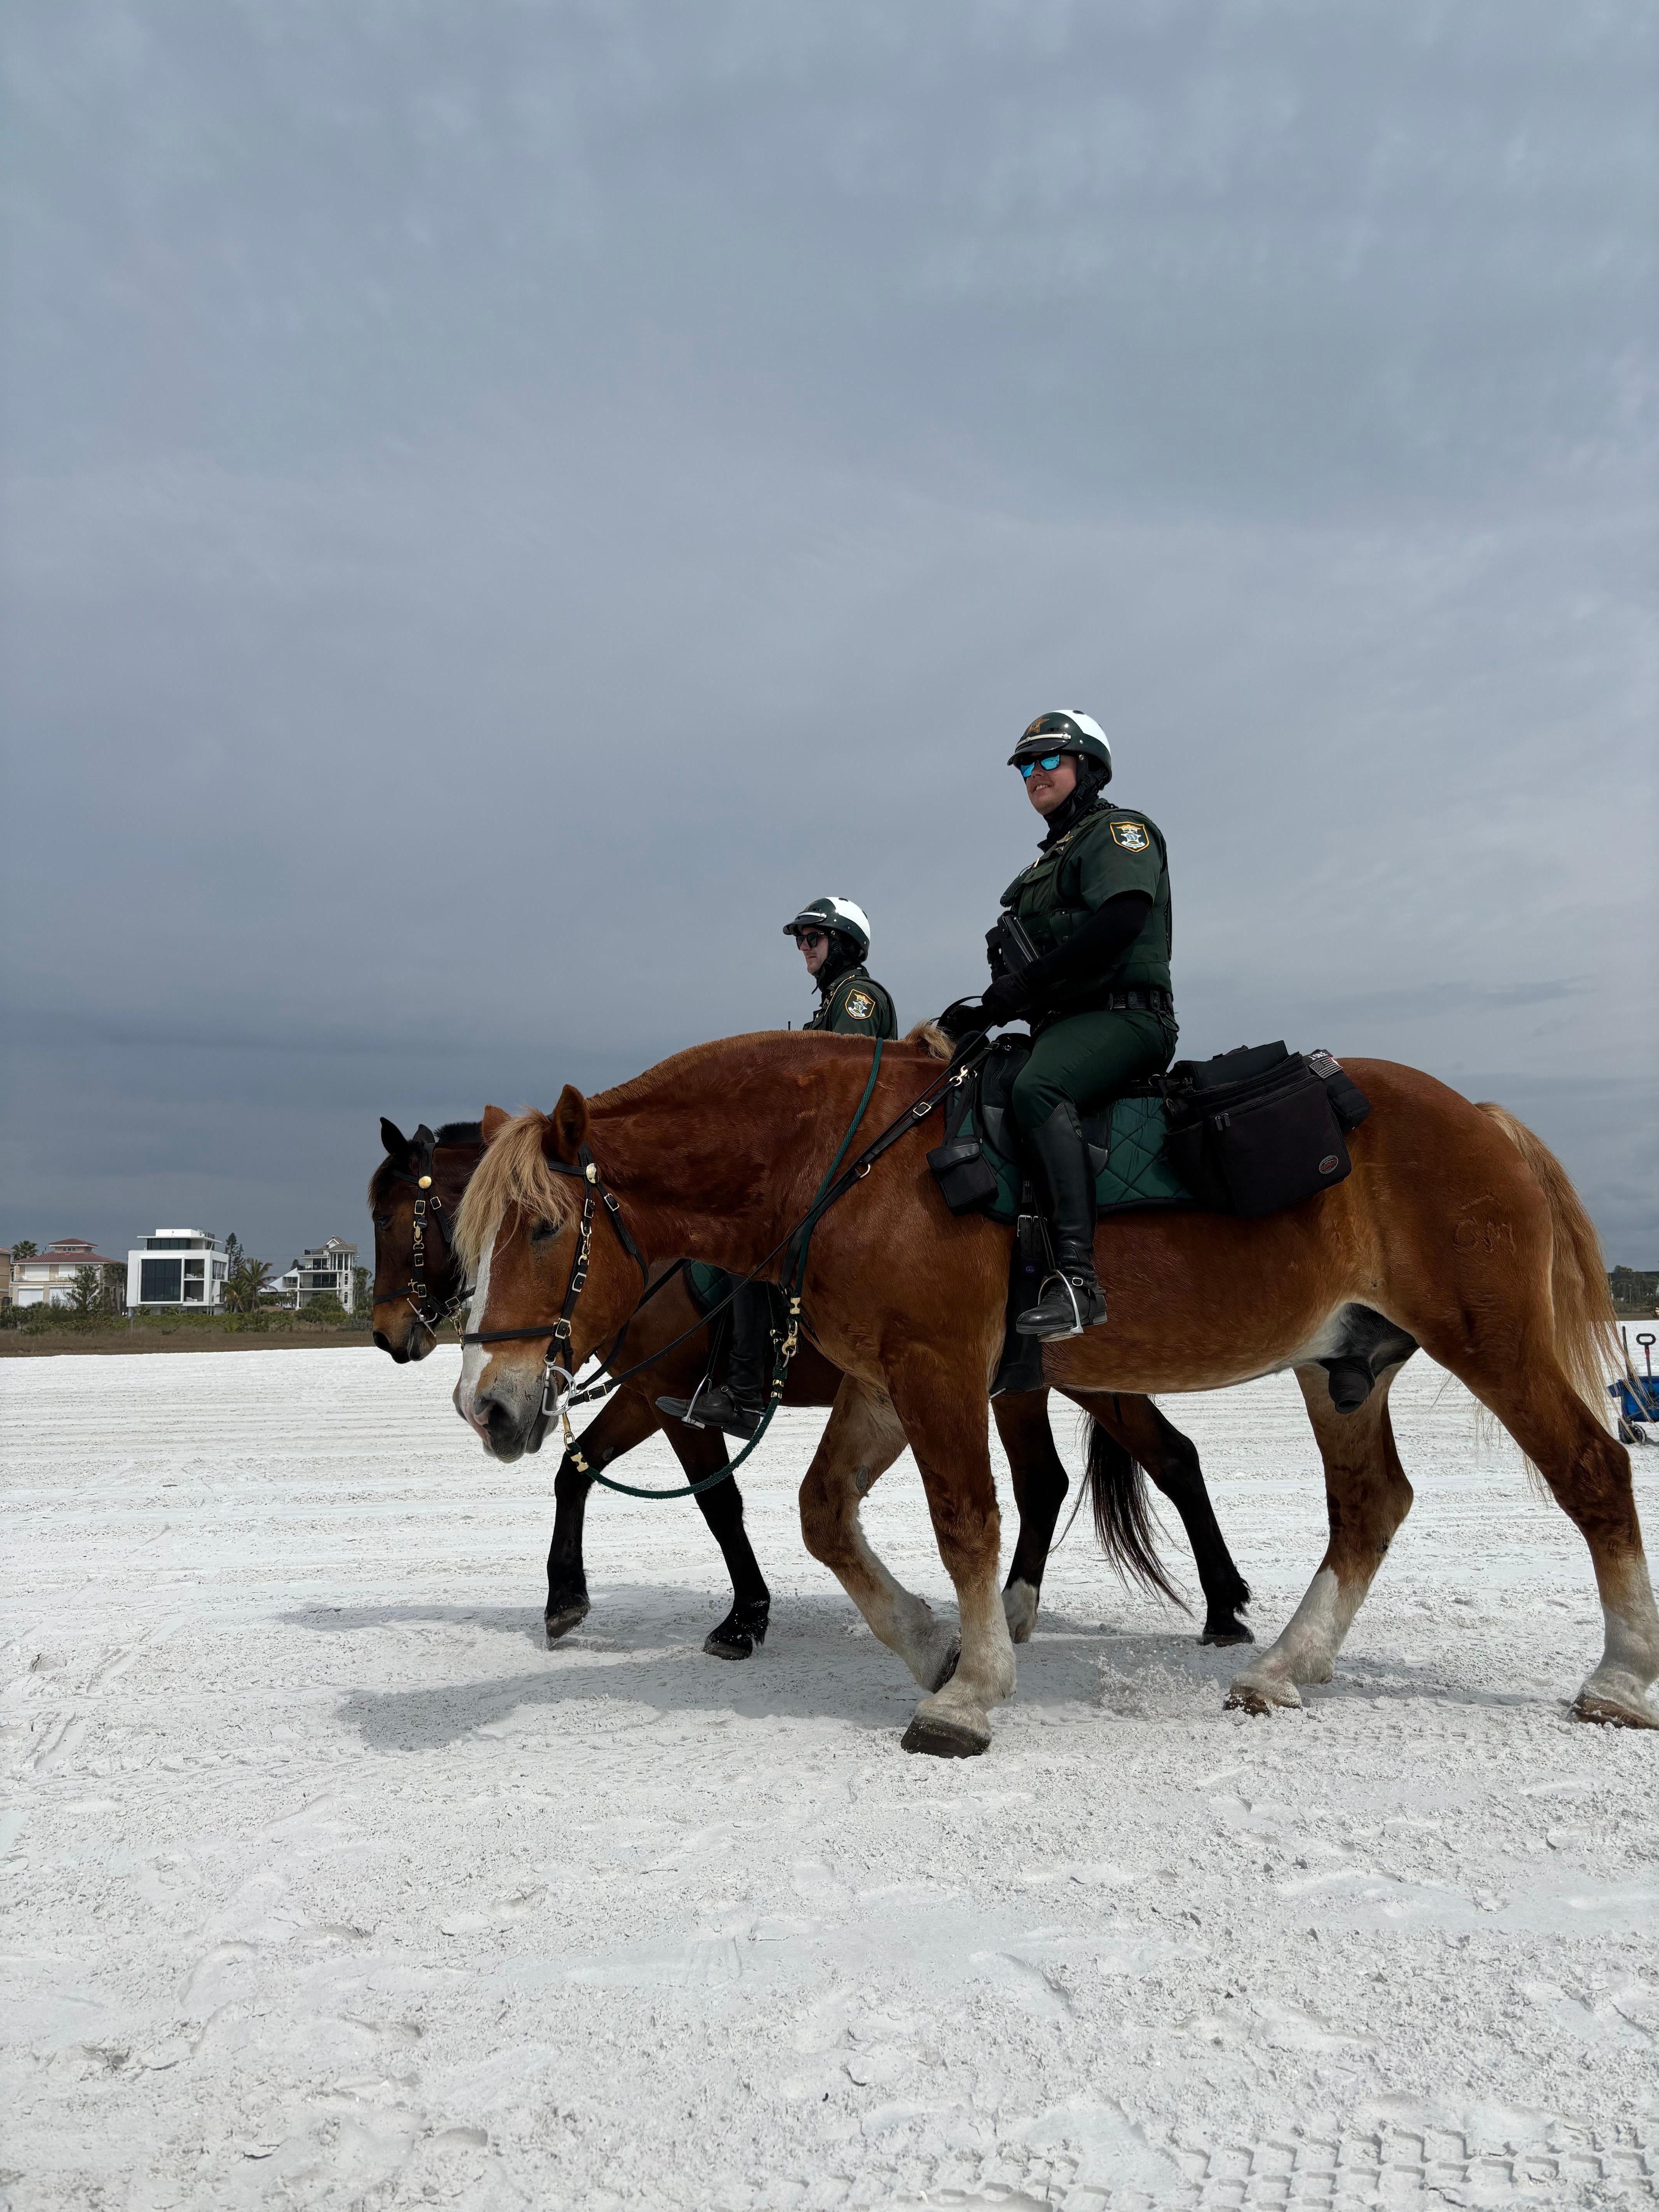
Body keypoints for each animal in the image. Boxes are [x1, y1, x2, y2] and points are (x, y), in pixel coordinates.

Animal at [368, 1109, 1256, 1659]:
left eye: (389, 1215)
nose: (385, 1332)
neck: (642, 1249)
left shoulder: (667, 1396)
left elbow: (715, 1504)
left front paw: (743, 1618)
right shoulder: (645, 1395)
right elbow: (575, 1471)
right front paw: (565, 1600)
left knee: (1159, 1462)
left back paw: (1218, 1608)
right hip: (1032, 1387)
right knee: (1081, 1474)